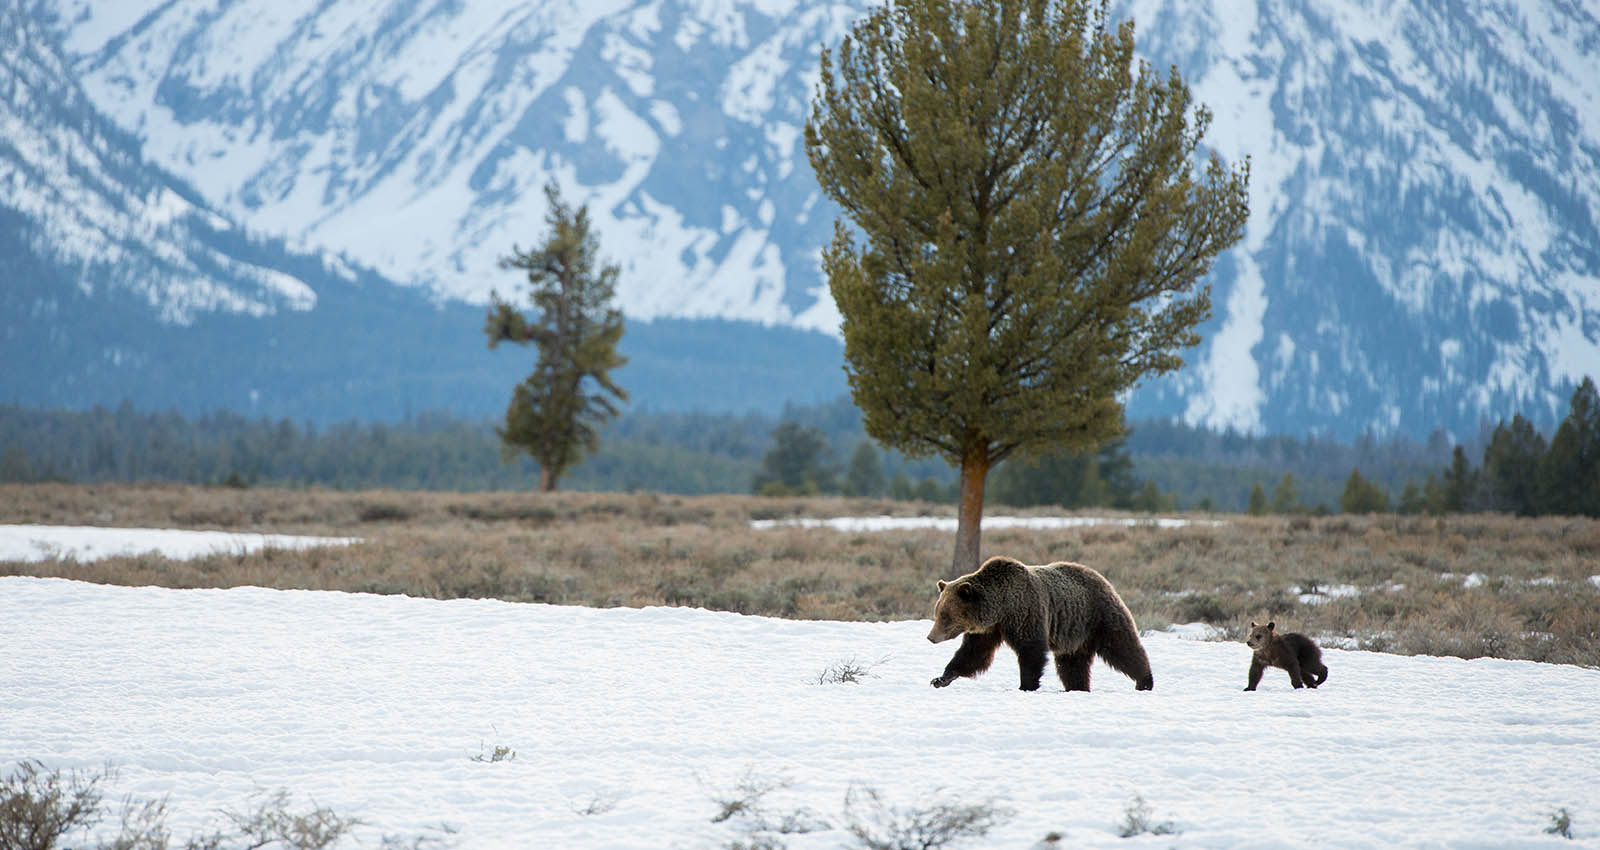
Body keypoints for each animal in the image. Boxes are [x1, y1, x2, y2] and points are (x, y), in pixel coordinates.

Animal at [928, 560, 1152, 691]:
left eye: (945, 616)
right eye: (937, 612)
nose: (931, 637)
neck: (1001, 608)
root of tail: (1102, 577)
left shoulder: (1026, 613)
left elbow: (1031, 651)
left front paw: (1026, 685)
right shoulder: (988, 630)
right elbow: (973, 655)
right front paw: (940, 678)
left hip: (1099, 617)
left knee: (1122, 647)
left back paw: (1145, 681)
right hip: (1074, 635)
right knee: (1072, 665)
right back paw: (1077, 688)